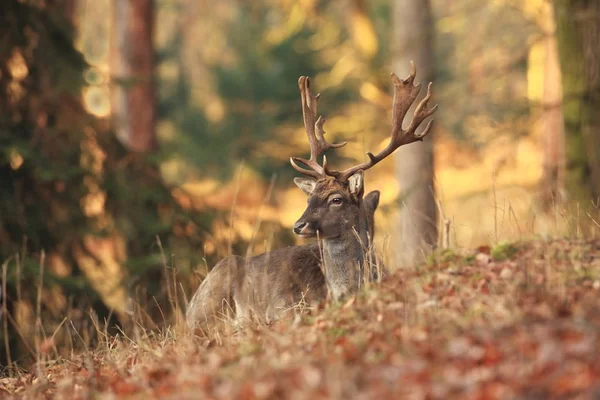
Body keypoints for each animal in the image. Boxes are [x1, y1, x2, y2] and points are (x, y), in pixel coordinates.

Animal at [185, 61, 438, 332]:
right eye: (309, 198)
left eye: (336, 199)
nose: (298, 225)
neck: (341, 291)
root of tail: (188, 309)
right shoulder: (284, 308)